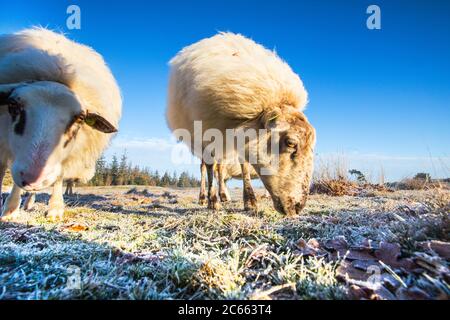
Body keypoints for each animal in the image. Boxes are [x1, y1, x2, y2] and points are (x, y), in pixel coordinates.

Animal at [0, 28, 122, 220]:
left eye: (80, 118)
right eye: (13, 105)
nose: (34, 178)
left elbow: (60, 176)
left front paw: (55, 208)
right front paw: (10, 209)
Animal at [166, 31, 316, 215]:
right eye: (290, 143)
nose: (298, 207)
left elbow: (244, 165)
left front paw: (250, 201)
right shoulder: (206, 132)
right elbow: (209, 167)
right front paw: (212, 201)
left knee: (220, 167)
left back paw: (223, 195)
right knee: (205, 167)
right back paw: (205, 197)